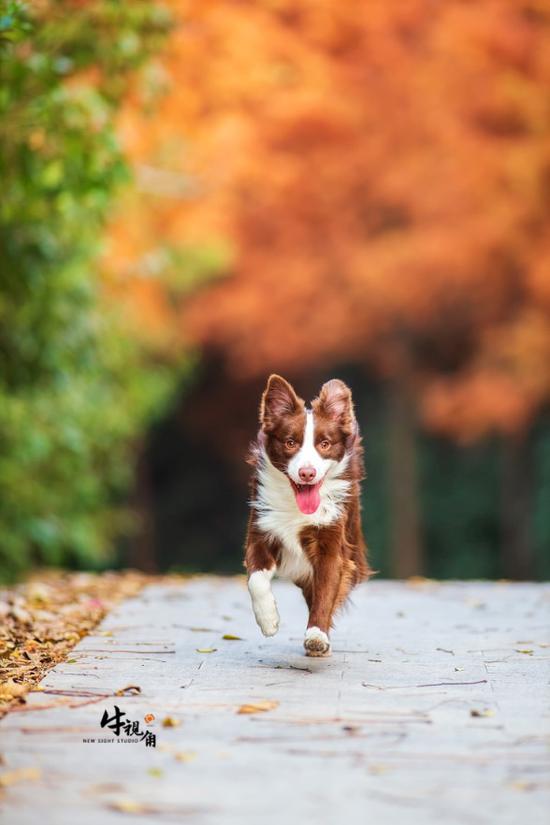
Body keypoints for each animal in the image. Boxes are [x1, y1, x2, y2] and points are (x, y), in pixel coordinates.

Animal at [245, 374, 370, 656]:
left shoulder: (331, 542)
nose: (307, 473)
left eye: (324, 444)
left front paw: (316, 635)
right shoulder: (261, 529)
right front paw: (268, 620)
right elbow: (256, 579)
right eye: (290, 442)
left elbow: (326, 589)